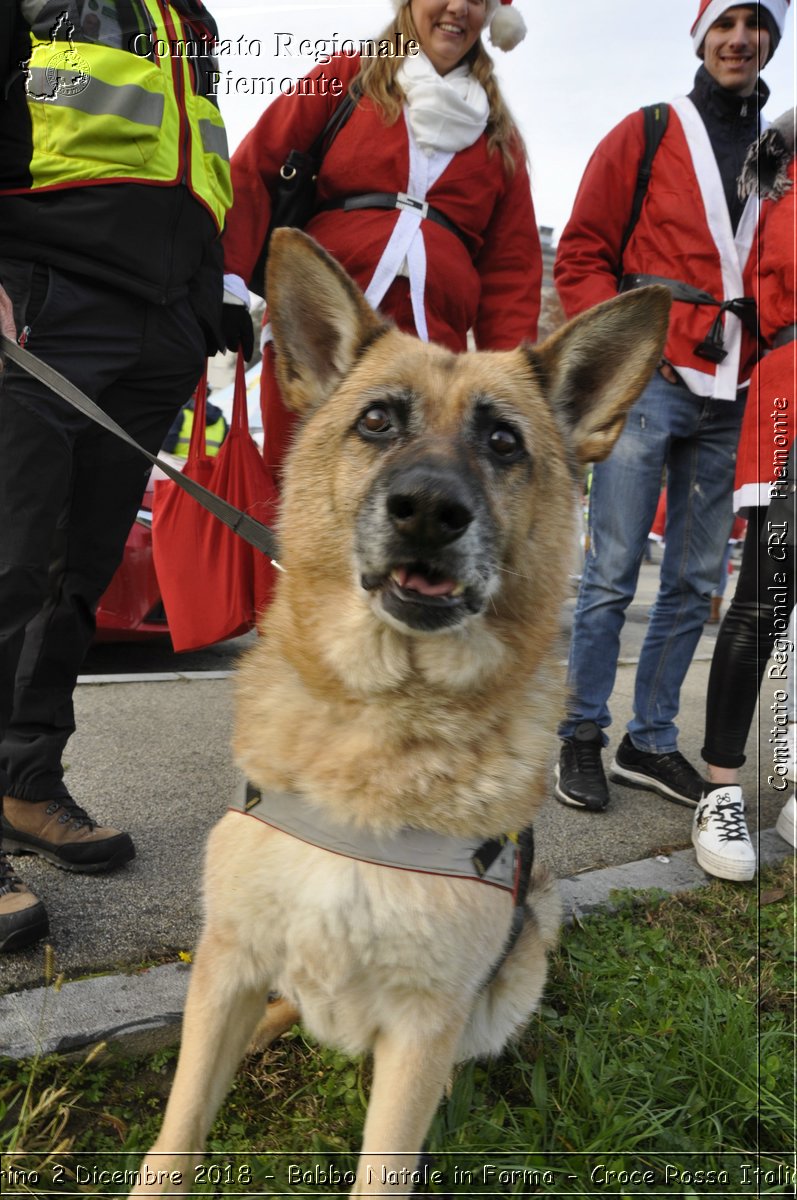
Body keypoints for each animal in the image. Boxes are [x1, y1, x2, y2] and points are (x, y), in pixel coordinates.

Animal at [133, 229, 667, 1195]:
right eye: (378, 421)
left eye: (502, 441)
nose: (426, 511)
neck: (382, 718)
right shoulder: (227, 963)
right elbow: (180, 1130)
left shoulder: (422, 1026)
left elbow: (386, 1162)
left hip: (520, 959)